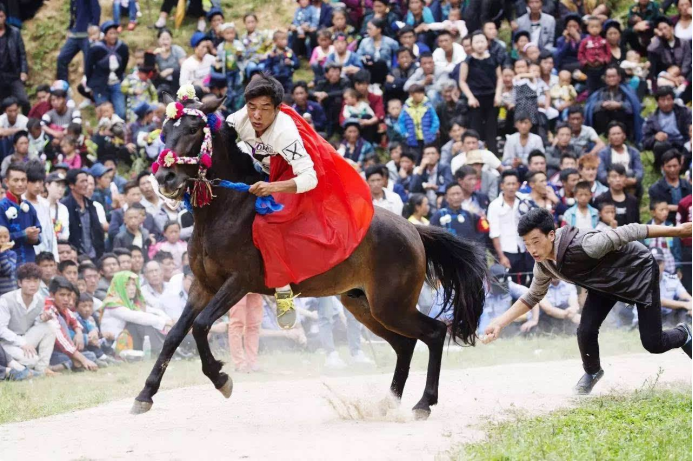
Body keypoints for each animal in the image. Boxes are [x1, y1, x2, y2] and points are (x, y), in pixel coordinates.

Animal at [131, 95, 486, 418]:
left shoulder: (239, 282)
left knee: (434, 333)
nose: (165, 178)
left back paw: (423, 403)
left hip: (391, 305)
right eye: (164, 131)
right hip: (364, 304)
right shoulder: (203, 285)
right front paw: (145, 394)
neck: (228, 211)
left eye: (193, 129)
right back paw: (389, 402)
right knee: (405, 344)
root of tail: (413, 229)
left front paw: (221, 378)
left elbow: (201, 326)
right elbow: (175, 334)